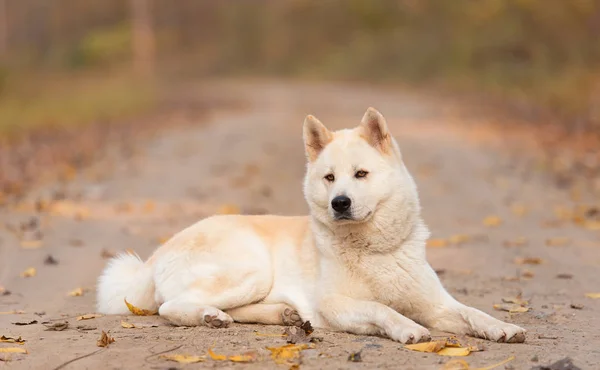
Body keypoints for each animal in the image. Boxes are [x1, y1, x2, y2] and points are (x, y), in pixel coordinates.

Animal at [97, 107, 524, 344]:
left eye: (361, 174)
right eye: (329, 178)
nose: (340, 203)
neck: (375, 250)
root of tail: (155, 256)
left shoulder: (435, 304)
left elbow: (473, 313)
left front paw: (503, 327)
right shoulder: (335, 304)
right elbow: (382, 309)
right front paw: (407, 328)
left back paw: (280, 315)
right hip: (250, 268)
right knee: (171, 306)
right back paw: (209, 316)